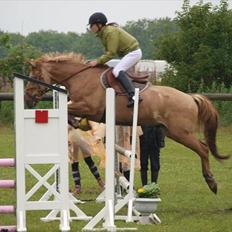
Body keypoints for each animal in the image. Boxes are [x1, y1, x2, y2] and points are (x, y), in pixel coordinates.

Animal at [24, 52, 229, 194]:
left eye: (35, 75)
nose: (27, 99)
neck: (80, 77)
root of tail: (190, 97)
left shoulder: (90, 108)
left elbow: (68, 109)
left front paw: (76, 122)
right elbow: (67, 110)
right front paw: (77, 123)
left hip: (181, 133)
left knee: (203, 148)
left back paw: (211, 182)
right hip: (174, 131)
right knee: (202, 148)